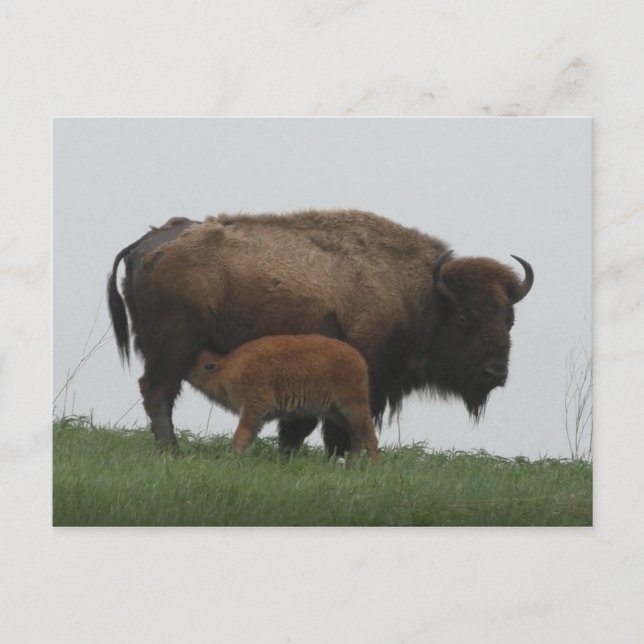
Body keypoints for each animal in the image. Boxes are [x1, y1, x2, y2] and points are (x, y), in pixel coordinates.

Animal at [187, 335, 379, 461]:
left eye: (205, 365)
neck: (229, 367)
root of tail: (358, 358)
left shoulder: (253, 408)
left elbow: (242, 434)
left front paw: (233, 456)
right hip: (335, 412)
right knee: (355, 434)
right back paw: (351, 464)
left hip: (353, 406)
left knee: (368, 434)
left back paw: (373, 466)